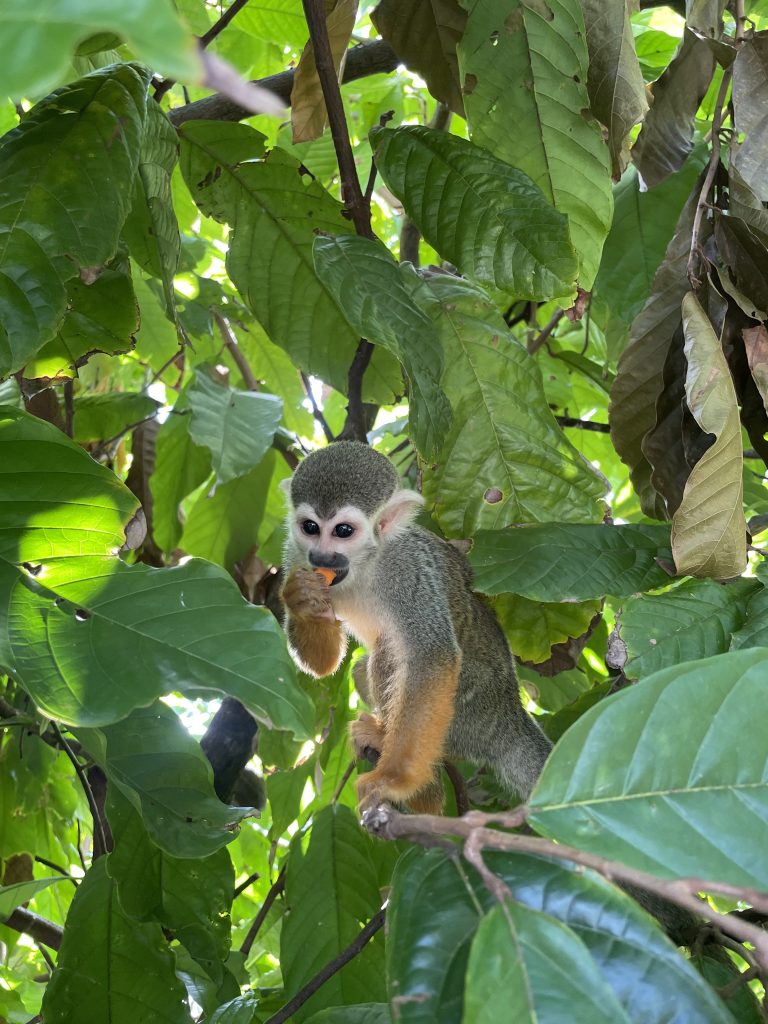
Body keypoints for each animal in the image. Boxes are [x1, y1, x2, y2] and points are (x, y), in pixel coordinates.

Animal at [280, 440, 552, 816]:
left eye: (343, 531)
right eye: (309, 527)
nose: (321, 557)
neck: (366, 563)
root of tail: (510, 713)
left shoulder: (408, 568)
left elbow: (431, 657)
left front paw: (394, 780)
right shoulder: (295, 554)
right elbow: (323, 665)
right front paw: (301, 597)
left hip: (469, 708)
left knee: (390, 655)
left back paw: (424, 793)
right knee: (366, 666)